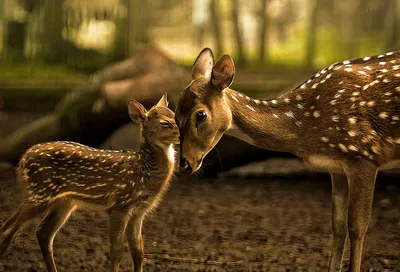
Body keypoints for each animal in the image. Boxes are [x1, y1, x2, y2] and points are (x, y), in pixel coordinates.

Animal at [0, 94, 178, 272]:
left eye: (175, 116)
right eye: (165, 123)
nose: (181, 135)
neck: (144, 172)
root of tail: (22, 160)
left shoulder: (139, 212)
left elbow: (138, 251)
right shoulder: (118, 205)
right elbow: (117, 250)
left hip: (63, 202)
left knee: (41, 232)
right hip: (39, 192)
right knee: (9, 230)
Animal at [177, 49, 400, 272]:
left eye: (201, 115)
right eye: (176, 115)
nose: (185, 163)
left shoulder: (364, 153)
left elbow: (357, 226)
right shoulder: (336, 167)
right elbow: (338, 225)